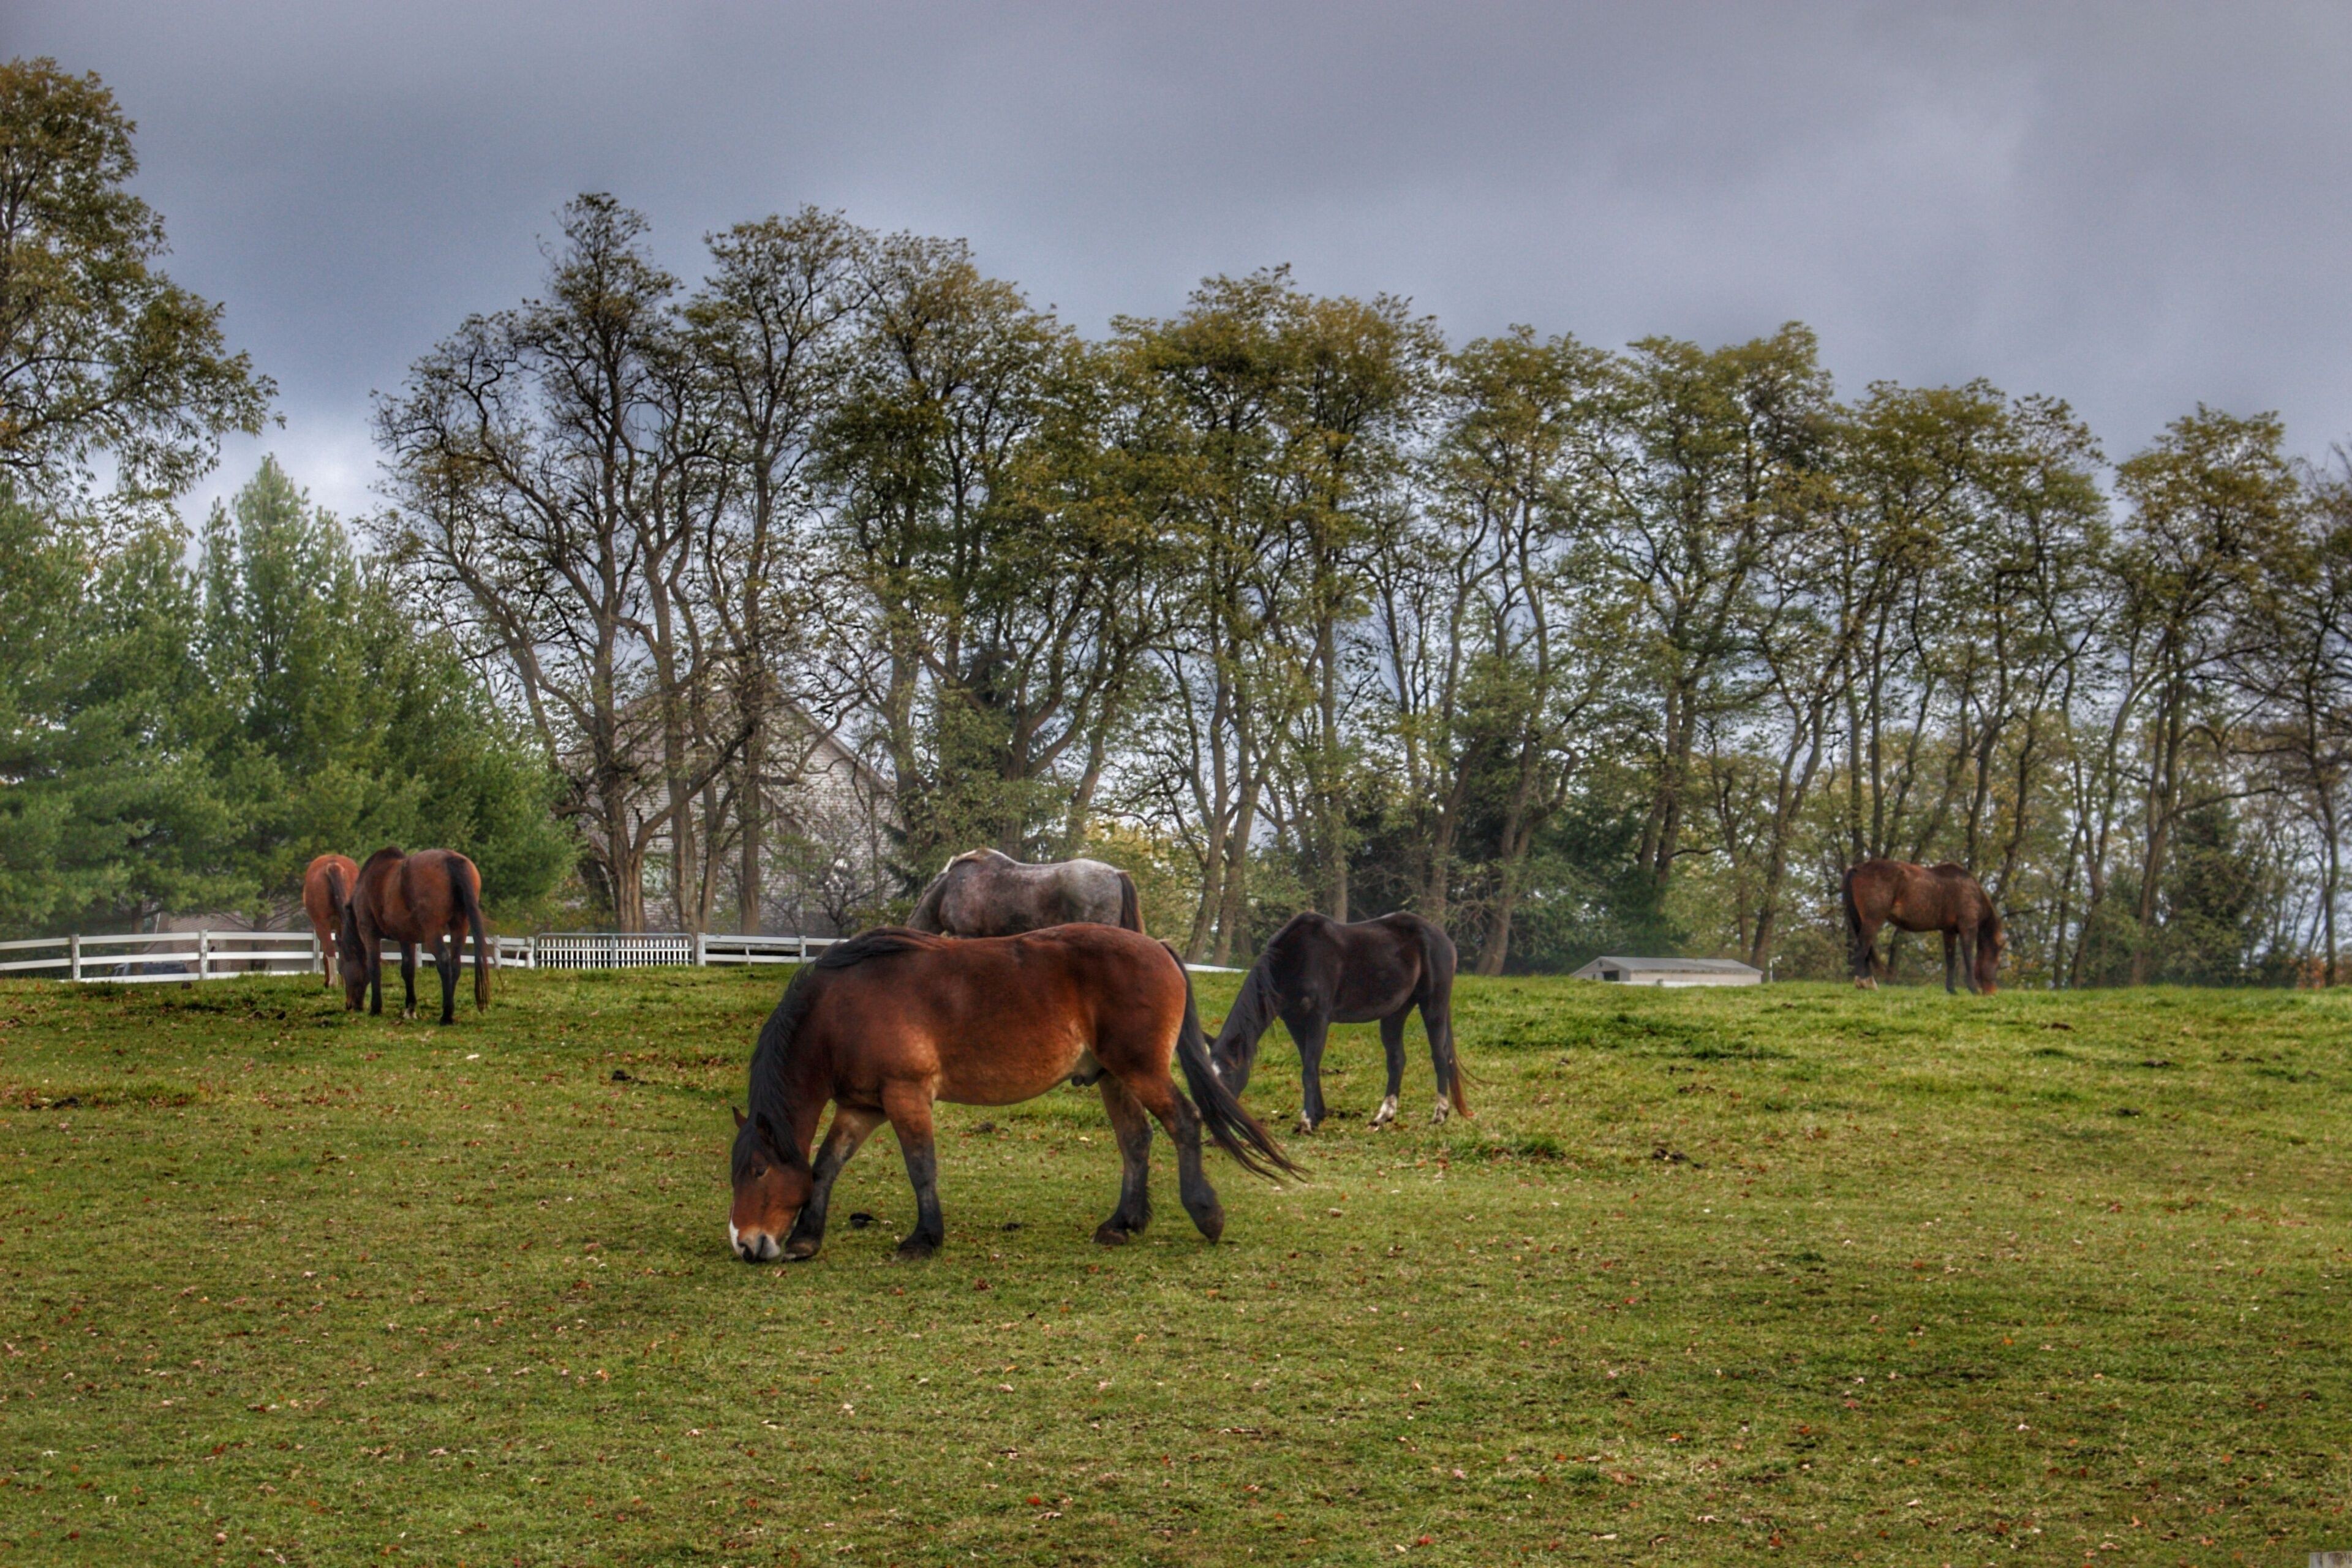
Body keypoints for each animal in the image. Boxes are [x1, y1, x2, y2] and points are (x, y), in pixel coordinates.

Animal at [339, 847, 491, 1024]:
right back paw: (449, 1010)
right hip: (460, 927)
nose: (350, 1005)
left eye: (342, 968)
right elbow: (408, 970)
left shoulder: (369, 934)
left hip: (433, 932)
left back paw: (446, 1015)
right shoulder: (406, 938)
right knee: (455, 964)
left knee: (444, 960)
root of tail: (450, 858)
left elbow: (374, 967)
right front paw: (410, 1009)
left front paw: (376, 1008)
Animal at [726, 924, 1292, 1264]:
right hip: (1115, 1076)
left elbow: (920, 1166)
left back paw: (1206, 1214)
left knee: (1184, 1122)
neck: (842, 1008)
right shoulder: (862, 1106)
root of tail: (1157, 948)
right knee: (1136, 1142)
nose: (746, 1244)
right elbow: (826, 1165)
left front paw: (924, 1238)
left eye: (758, 1171)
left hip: (1141, 1070)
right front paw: (806, 1237)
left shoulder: (906, 1096)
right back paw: (1121, 1224)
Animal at [1209, 911, 1469, 1134]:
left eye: (1229, 1073)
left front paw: (1307, 1122)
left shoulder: (1318, 1018)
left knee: (1440, 1056)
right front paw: (1318, 1116)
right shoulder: (1294, 1021)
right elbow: (1309, 1065)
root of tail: (1442, 937)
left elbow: (1309, 1068)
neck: (1295, 958)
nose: (1218, 1116)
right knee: (1397, 1061)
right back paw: (1382, 1117)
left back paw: (1440, 1115)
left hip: (1433, 1006)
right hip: (1394, 1014)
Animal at [1842, 859, 2005, 994]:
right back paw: (1863, 982)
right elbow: (1969, 959)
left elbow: (1951, 961)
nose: (1992, 992)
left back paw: (1868, 982)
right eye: (1998, 964)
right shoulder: (1968, 928)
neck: (1972, 892)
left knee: (1865, 949)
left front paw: (1952, 990)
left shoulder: (1949, 931)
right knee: (1862, 949)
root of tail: (1858, 868)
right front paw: (1973, 989)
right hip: (1873, 920)